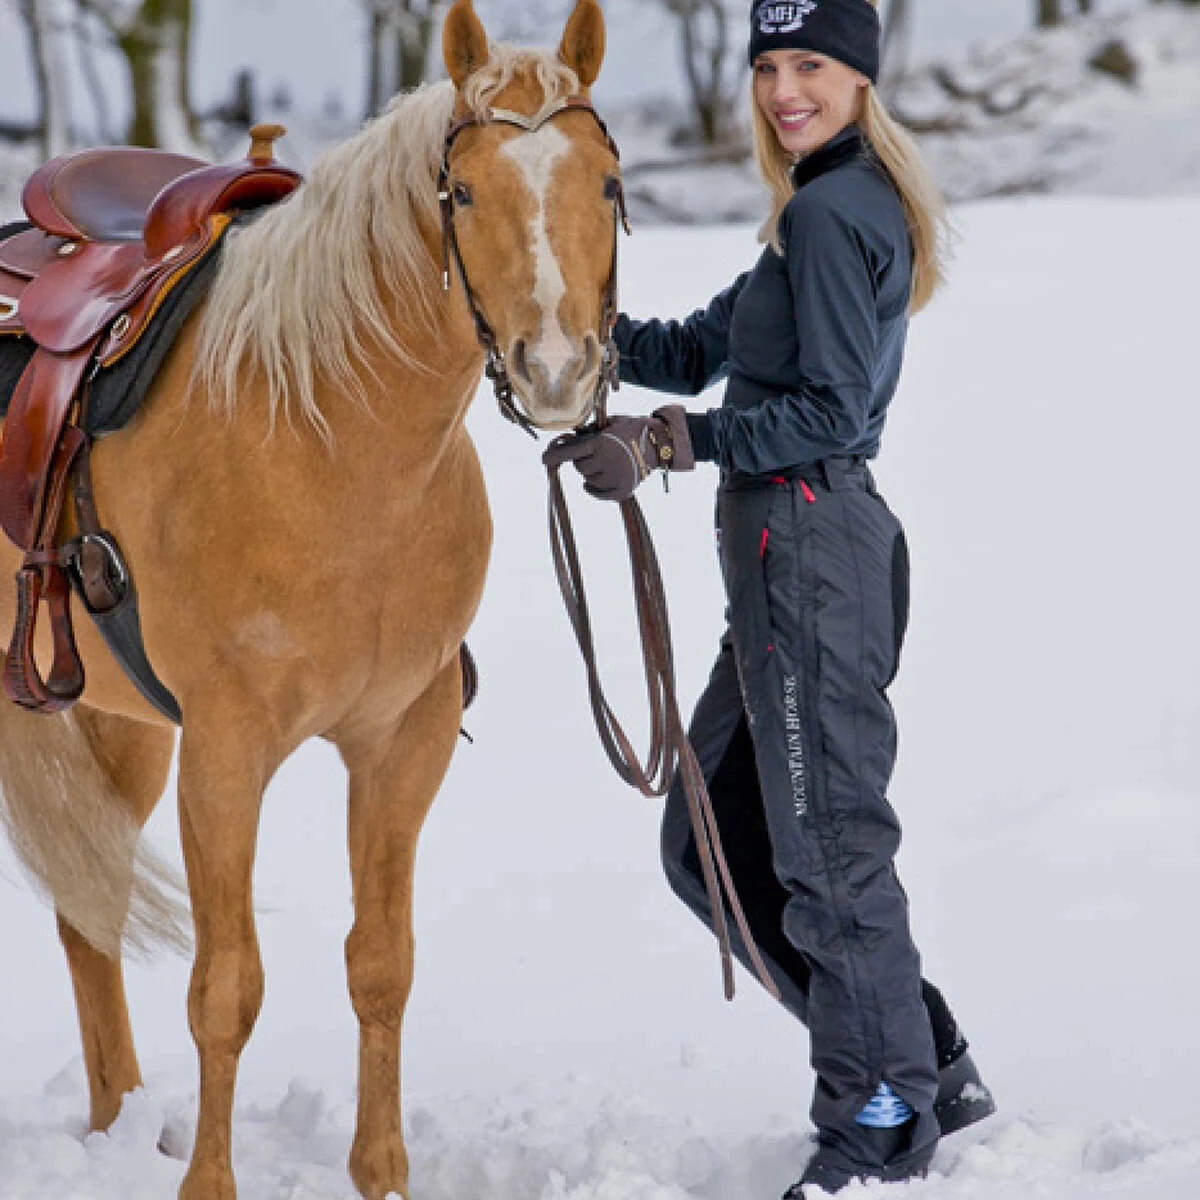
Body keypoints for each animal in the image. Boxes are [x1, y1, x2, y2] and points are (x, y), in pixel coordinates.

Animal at [0, 1, 622, 1196]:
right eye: (462, 193)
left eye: (609, 183)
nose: (557, 369)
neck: (330, 443)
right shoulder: (226, 752)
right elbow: (225, 988)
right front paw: (208, 1184)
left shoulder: (400, 737)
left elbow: (381, 965)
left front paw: (380, 1173)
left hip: (114, 722)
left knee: (88, 915)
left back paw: (117, 1124)